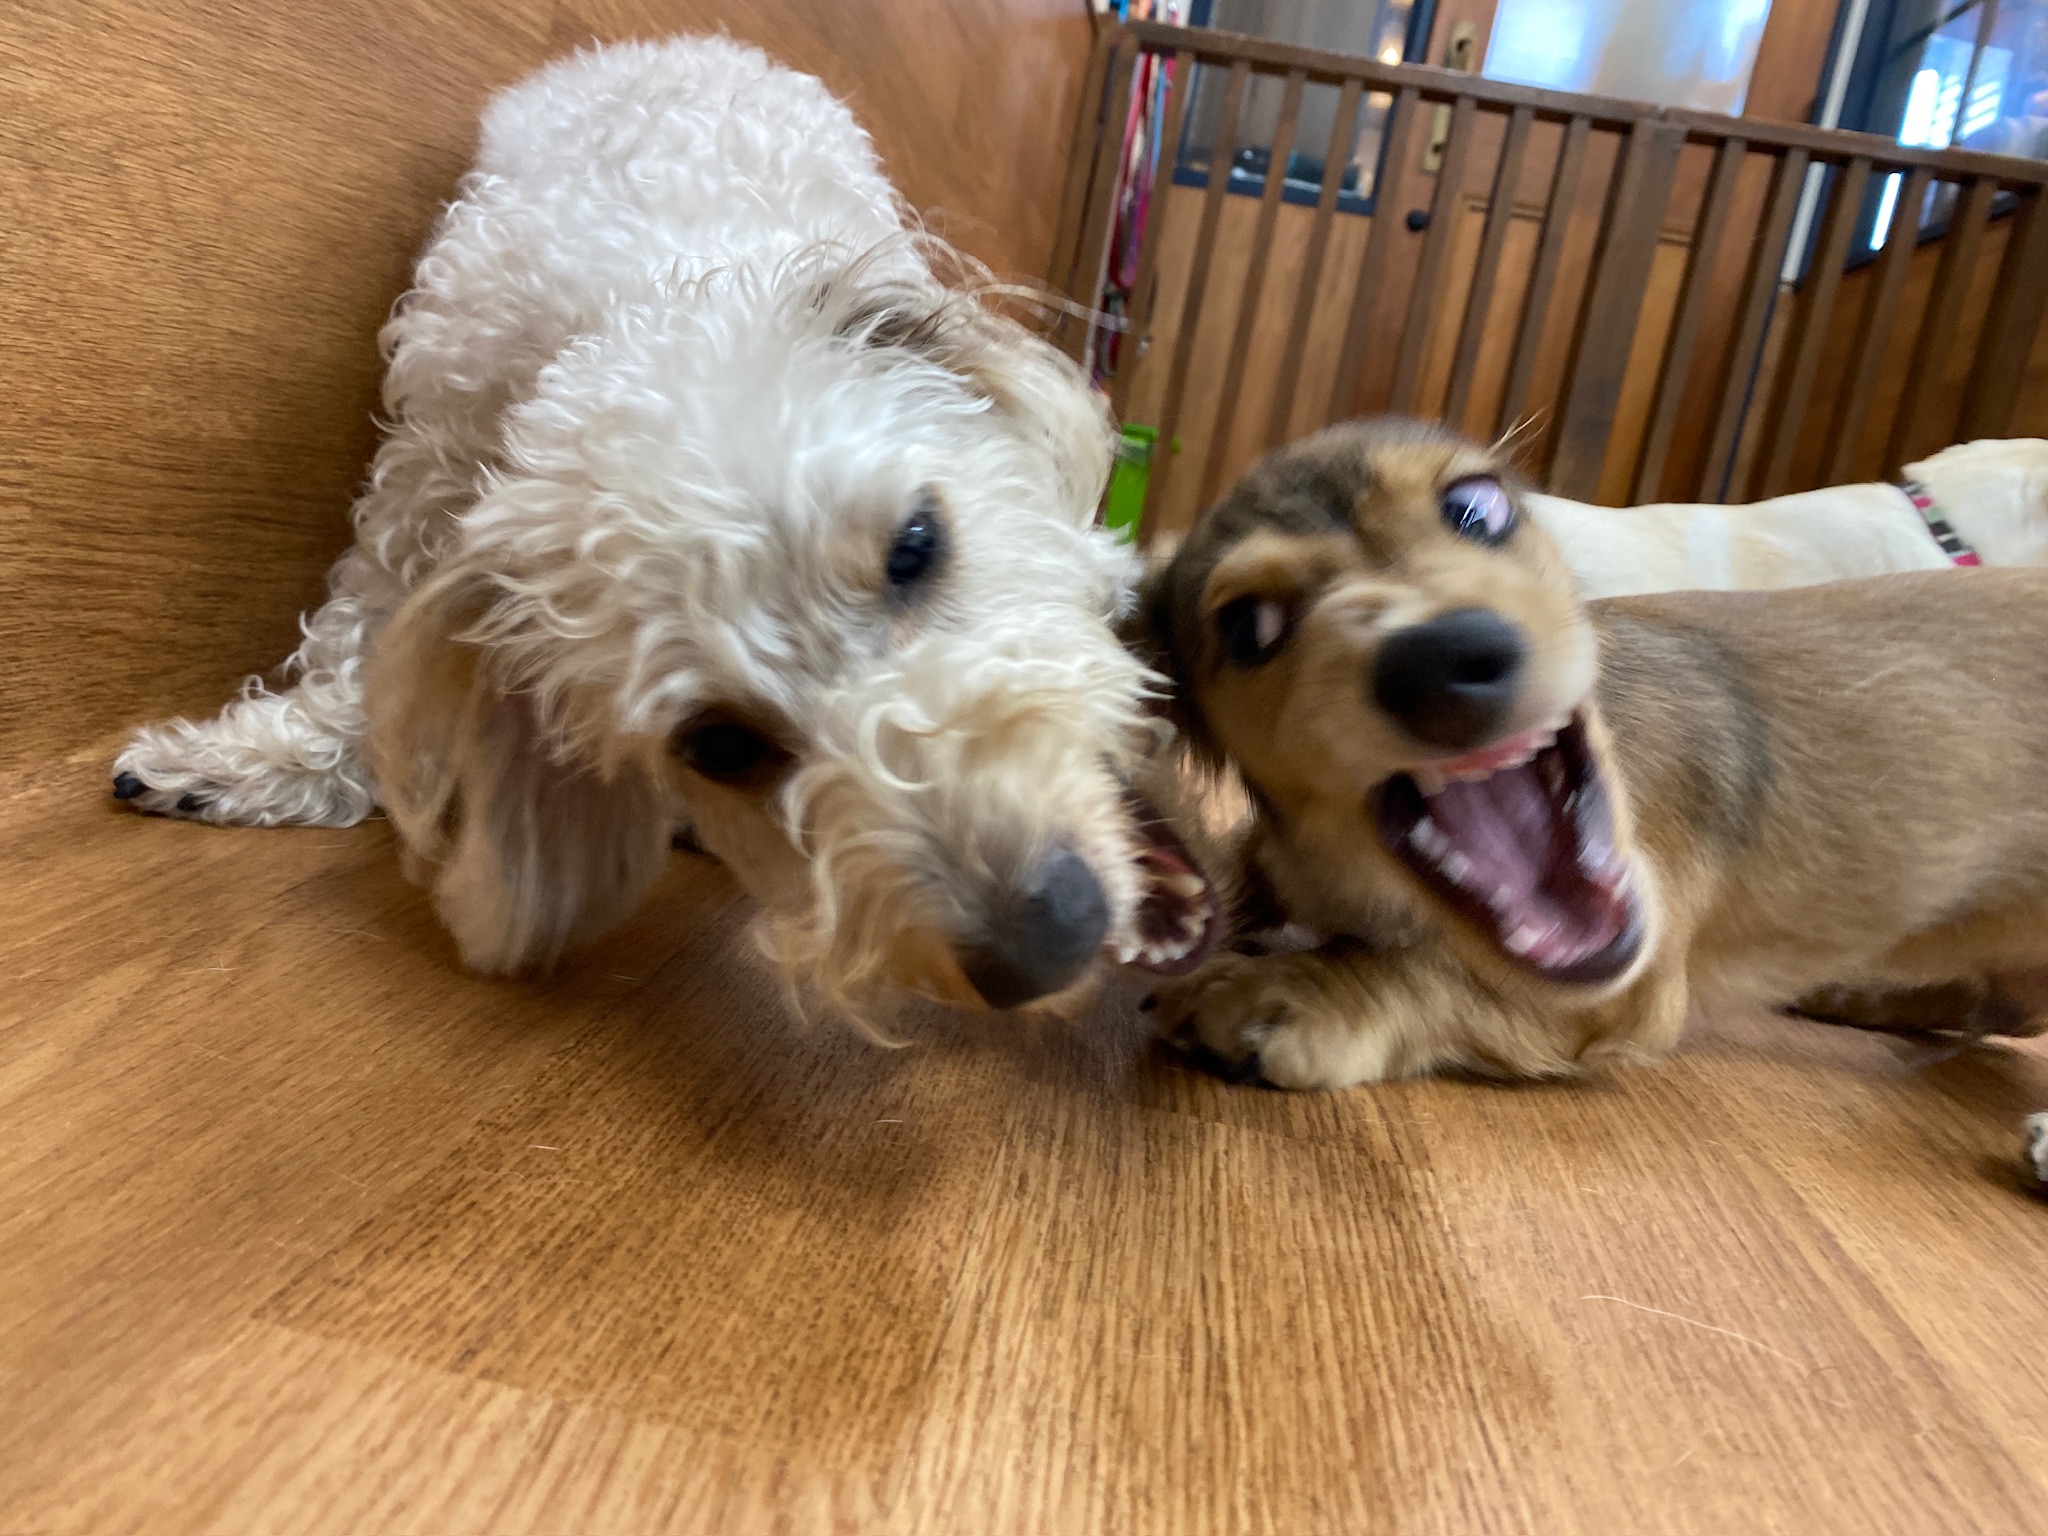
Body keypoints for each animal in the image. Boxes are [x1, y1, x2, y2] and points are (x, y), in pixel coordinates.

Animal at [110, 37, 1222, 1024]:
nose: (1052, 941)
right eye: (716, 745)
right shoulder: (428, 474)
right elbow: (361, 635)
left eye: (917, 544)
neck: (649, 314)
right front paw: (256, 759)